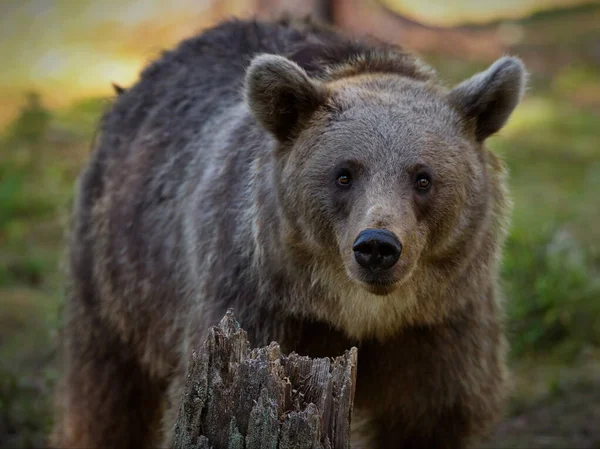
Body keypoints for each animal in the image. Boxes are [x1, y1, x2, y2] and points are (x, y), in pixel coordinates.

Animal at [54, 15, 528, 448]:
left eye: (423, 178)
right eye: (344, 174)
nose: (377, 246)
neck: (360, 317)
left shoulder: (438, 327)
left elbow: (433, 416)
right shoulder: (254, 304)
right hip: (119, 265)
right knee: (107, 387)